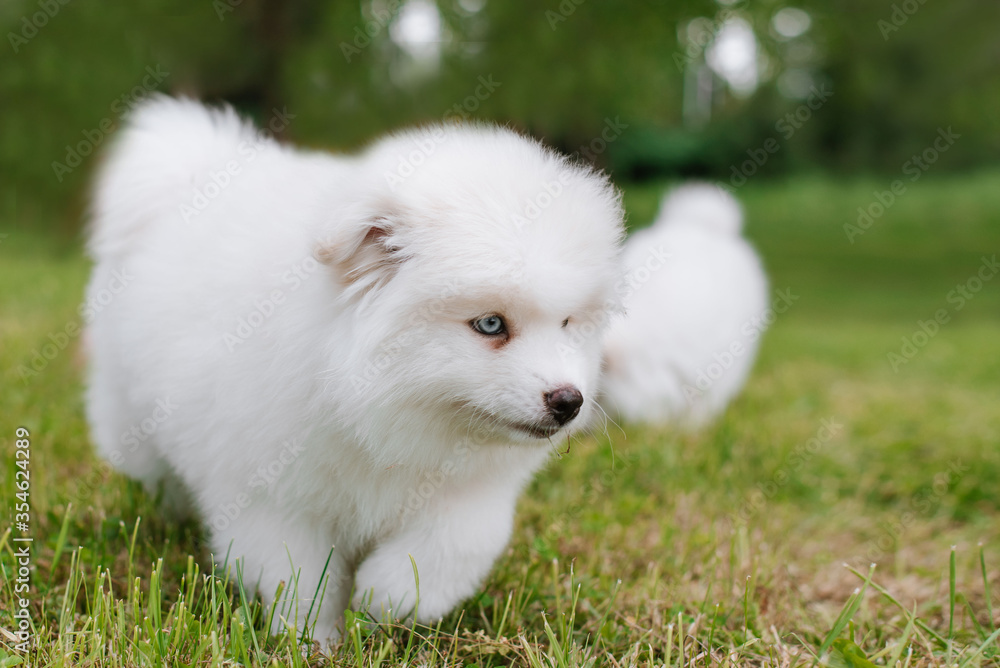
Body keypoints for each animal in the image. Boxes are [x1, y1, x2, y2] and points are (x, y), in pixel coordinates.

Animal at [83, 96, 625, 643]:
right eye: (490, 324)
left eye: (568, 323)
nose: (569, 401)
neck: (379, 408)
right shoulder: (274, 494)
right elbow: (298, 576)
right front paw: (314, 641)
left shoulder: (470, 492)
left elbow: (451, 547)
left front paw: (386, 598)